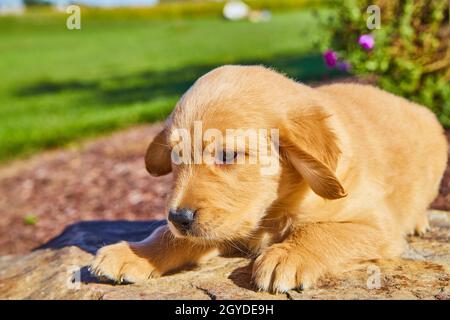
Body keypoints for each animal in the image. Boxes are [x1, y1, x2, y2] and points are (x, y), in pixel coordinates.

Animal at [90, 65, 446, 292]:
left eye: (227, 155)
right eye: (176, 156)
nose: (179, 217)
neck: (275, 208)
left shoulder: (377, 224)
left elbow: (323, 230)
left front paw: (288, 254)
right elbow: (170, 234)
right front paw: (137, 253)